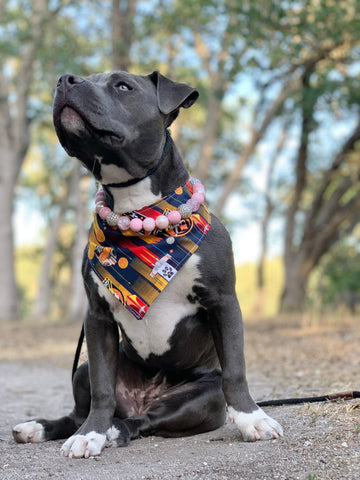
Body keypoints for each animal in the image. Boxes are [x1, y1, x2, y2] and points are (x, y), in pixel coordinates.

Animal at [12, 71, 282, 458]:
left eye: (123, 86)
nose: (65, 79)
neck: (139, 210)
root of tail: (143, 398)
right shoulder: (97, 317)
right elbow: (102, 390)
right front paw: (90, 434)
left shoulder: (223, 301)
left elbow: (235, 369)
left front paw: (252, 419)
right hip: (82, 369)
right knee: (84, 411)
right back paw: (48, 427)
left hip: (202, 399)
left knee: (145, 422)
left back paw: (116, 430)